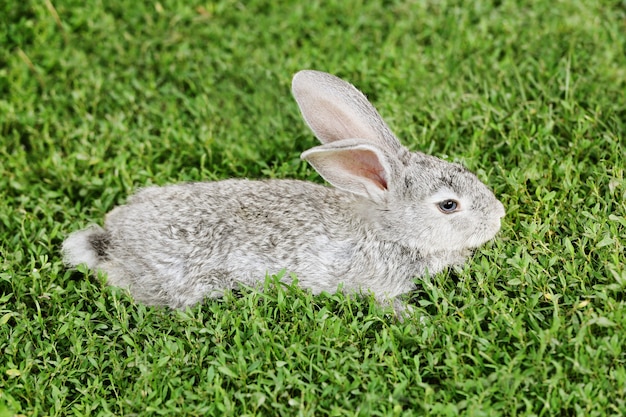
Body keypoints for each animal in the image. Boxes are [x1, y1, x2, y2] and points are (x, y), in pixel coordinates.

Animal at [62, 70, 502, 312]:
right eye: (449, 205)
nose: (498, 216)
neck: (390, 230)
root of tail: (112, 241)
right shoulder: (377, 284)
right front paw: (417, 317)